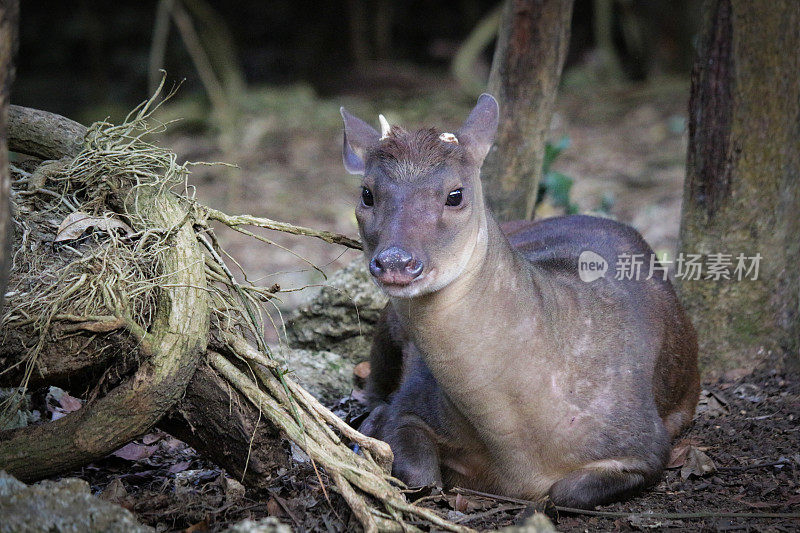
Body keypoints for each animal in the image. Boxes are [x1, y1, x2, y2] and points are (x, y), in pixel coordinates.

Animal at [338, 94, 700, 508]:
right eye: (366, 193)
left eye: (455, 194)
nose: (396, 262)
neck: (519, 450)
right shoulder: (414, 400)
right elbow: (419, 472)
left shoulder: (643, 441)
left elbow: (567, 492)